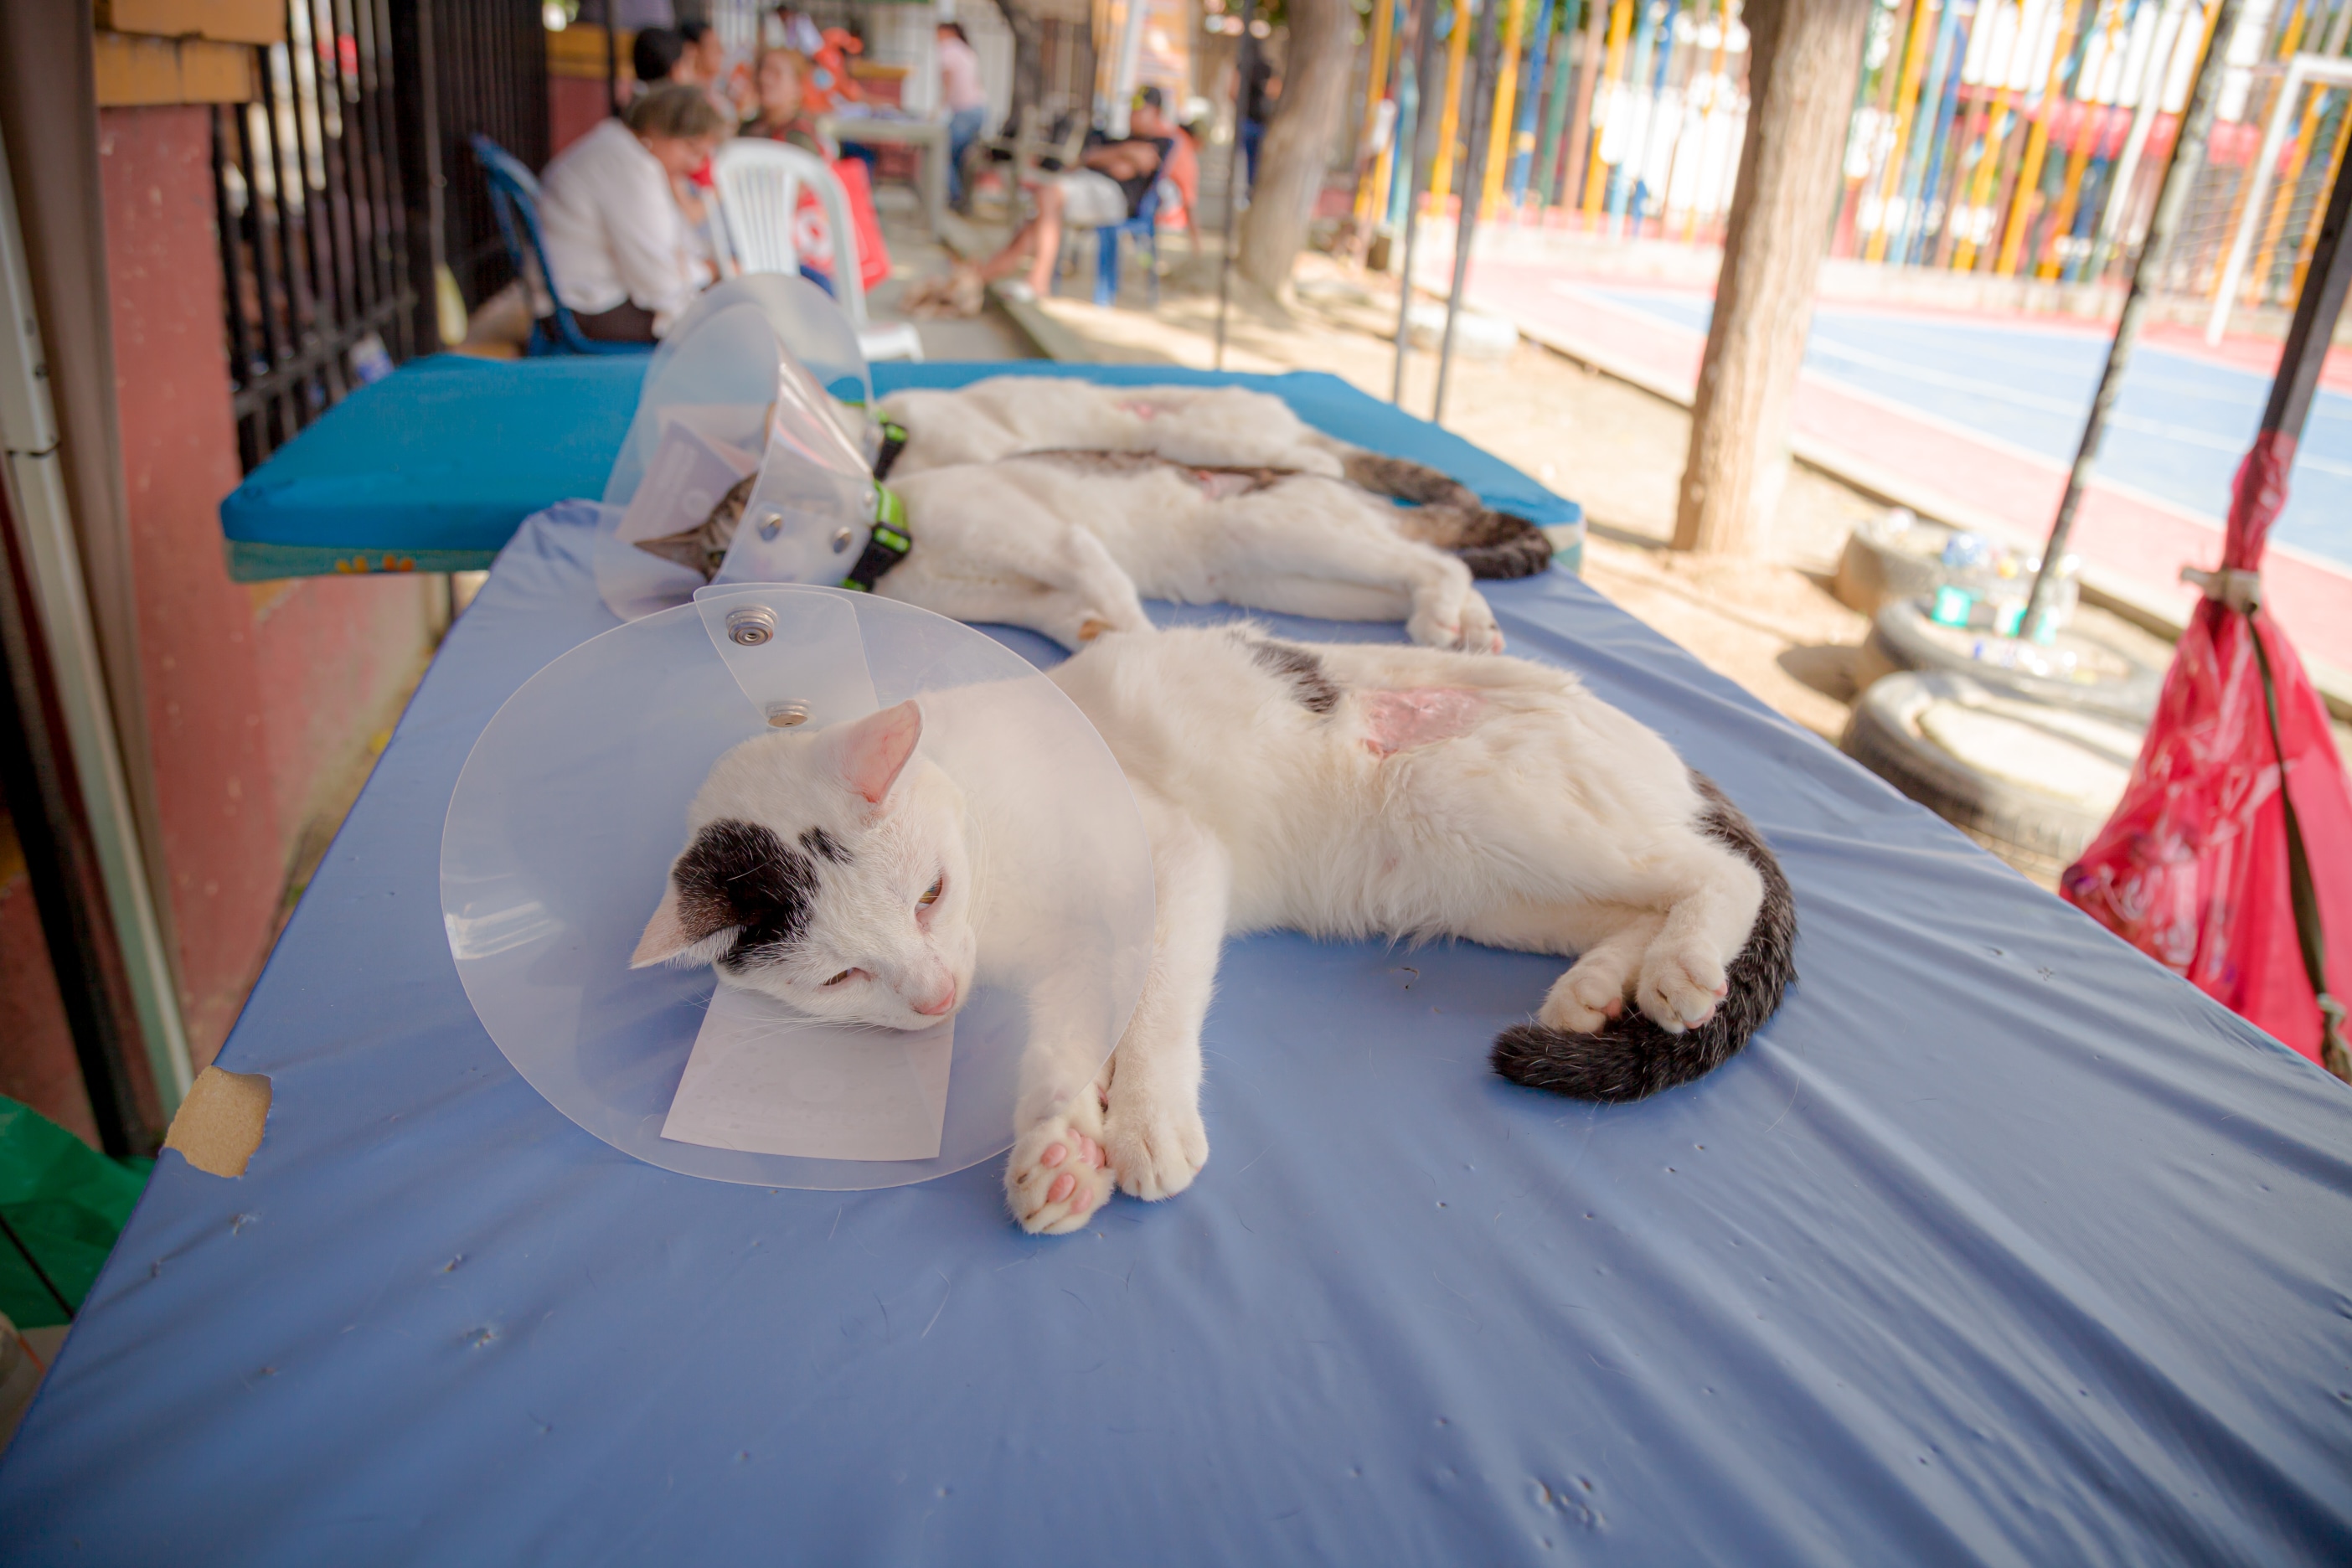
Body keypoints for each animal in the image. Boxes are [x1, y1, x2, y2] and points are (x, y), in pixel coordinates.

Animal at [635, 378, 1552, 658]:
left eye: (768, 522)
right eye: (720, 564)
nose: (756, 577)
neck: (893, 555)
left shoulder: (1055, 539)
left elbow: (1104, 585)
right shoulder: (1026, 596)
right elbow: (1080, 620)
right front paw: (1103, 641)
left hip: (1274, 530)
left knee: (1437, 561)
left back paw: (1447, 618)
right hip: (1301, 581)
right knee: (1437, 570)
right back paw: (1469, 629)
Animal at [635, 625, 1787, 1240]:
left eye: (928, 893)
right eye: (839, 979)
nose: (938, 997)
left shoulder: (1173, 862)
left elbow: (1151, 1010)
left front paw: (1141, 1122)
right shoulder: (1066, 962)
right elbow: (1065, 1037)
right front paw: (1060, 1151)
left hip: (1477, 799)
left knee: (1712, 870)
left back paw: (1684, 968)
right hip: (1481, 879)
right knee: (1631, 900)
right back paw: (1598, 992)